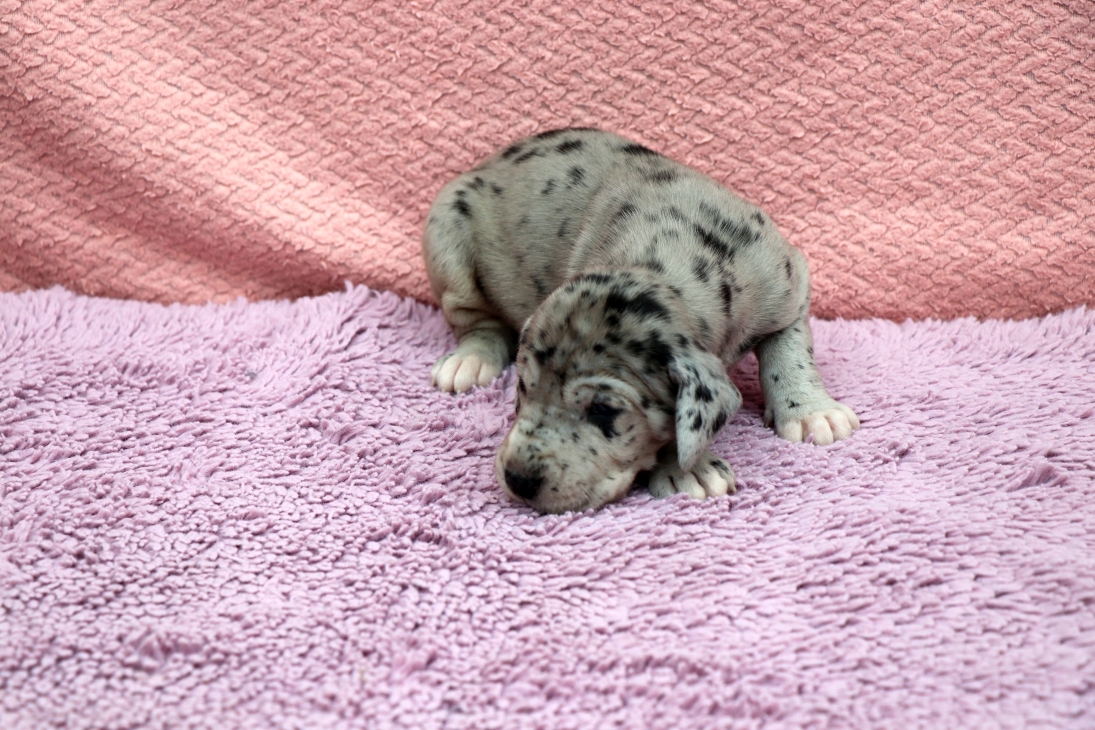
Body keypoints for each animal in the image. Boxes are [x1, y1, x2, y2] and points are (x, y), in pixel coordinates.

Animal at [423, 128, 859, 513]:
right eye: (524, 387)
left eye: (603, 411)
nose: (517, 479)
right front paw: (688, 468)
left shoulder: (789, 285)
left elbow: (790, 352)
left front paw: (809, 411)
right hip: (446, 237)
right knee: (476, 321)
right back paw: (469, 360)